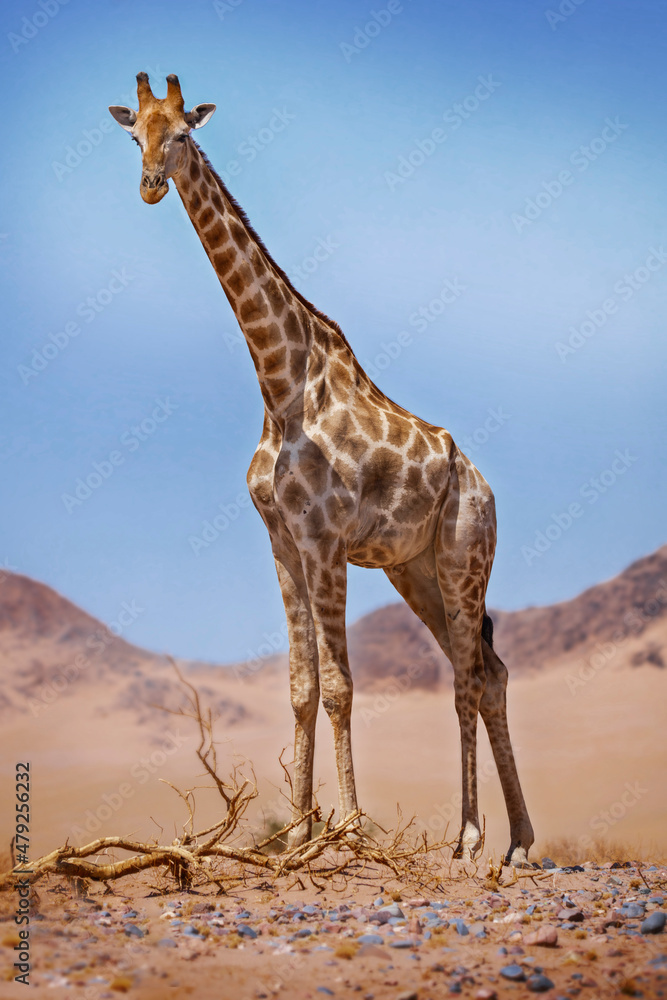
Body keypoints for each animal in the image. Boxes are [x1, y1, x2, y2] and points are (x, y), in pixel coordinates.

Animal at [109, 73, 534, 865]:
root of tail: (486, 489)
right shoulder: (281, 538)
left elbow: (339, 685)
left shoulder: (326, 539)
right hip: (414, 570)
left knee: (468, 677)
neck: (279, 383)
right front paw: (297, 835)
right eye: (132, 136)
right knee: (486, 672)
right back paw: (518, 843)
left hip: (465, 558)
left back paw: (469, 838)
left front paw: (348, 832)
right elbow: (302, 686)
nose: (150, 185)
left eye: (181, 133)